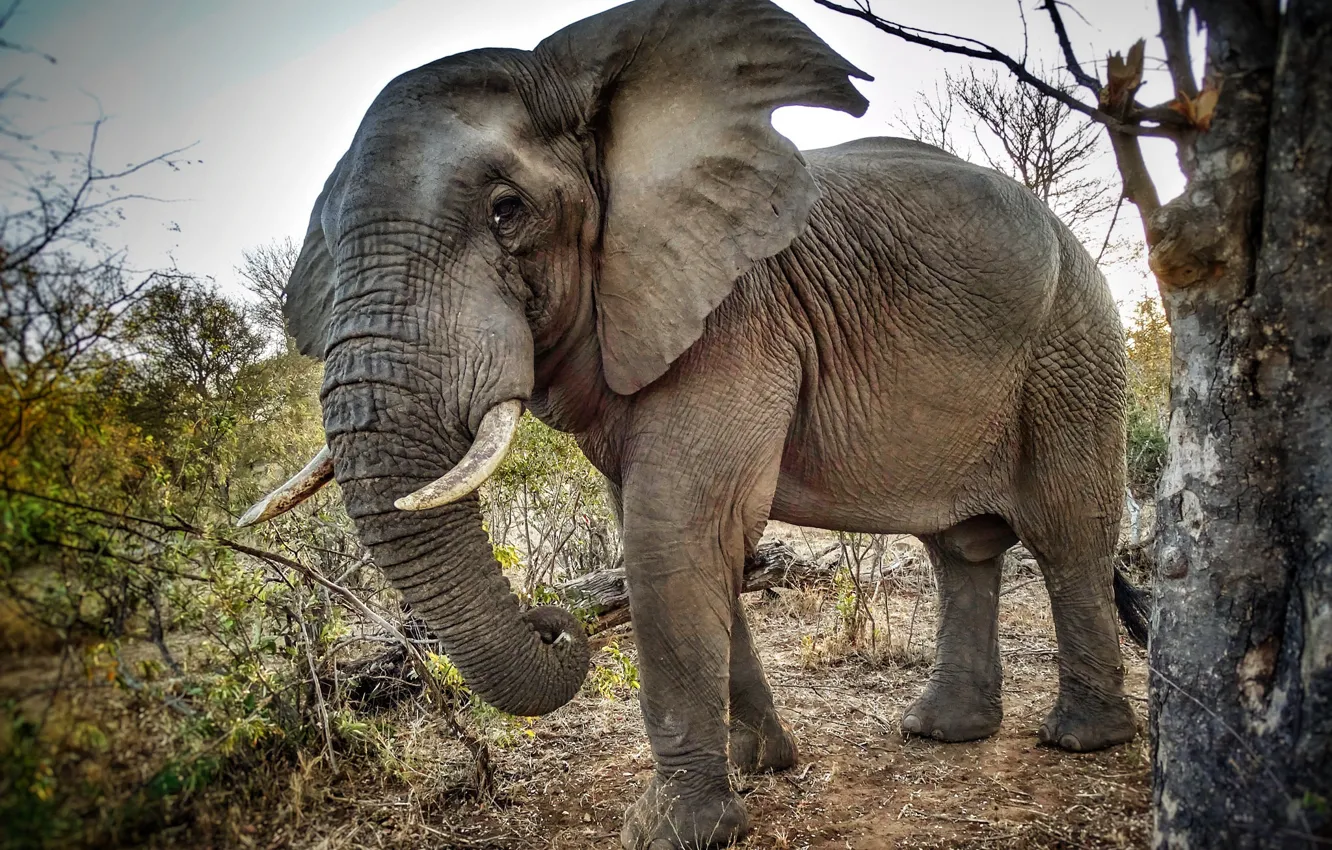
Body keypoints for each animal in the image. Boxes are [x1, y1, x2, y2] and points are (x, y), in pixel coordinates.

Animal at [239, 0, 1149, 846]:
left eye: (507, 211)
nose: (552, 623)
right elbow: (684, 536)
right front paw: (762, 766)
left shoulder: (740, 317)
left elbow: (672, 530)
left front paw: (673, 832)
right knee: (961, 548)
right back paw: (941, 732)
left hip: (1074, 348)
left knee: (1068, 532)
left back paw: (1082, 741)